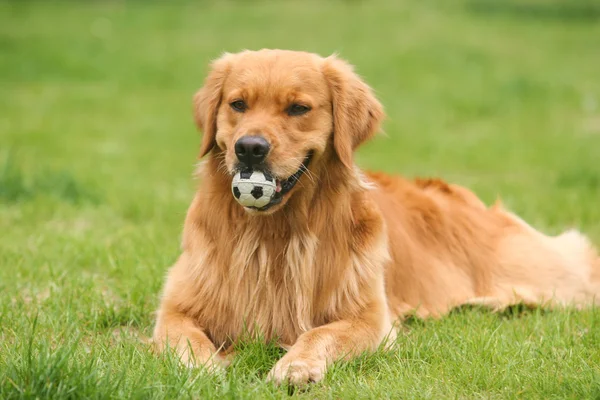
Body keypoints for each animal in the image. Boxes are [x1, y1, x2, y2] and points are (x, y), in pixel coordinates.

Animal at [151, 50, 600, 384]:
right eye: (237, 105)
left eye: (298, 108)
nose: (249, 148)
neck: (276, 233)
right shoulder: (176, 306)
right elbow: (184, 338)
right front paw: (203, 368)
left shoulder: (369, 318)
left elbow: (320, 332)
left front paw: (296, 364)